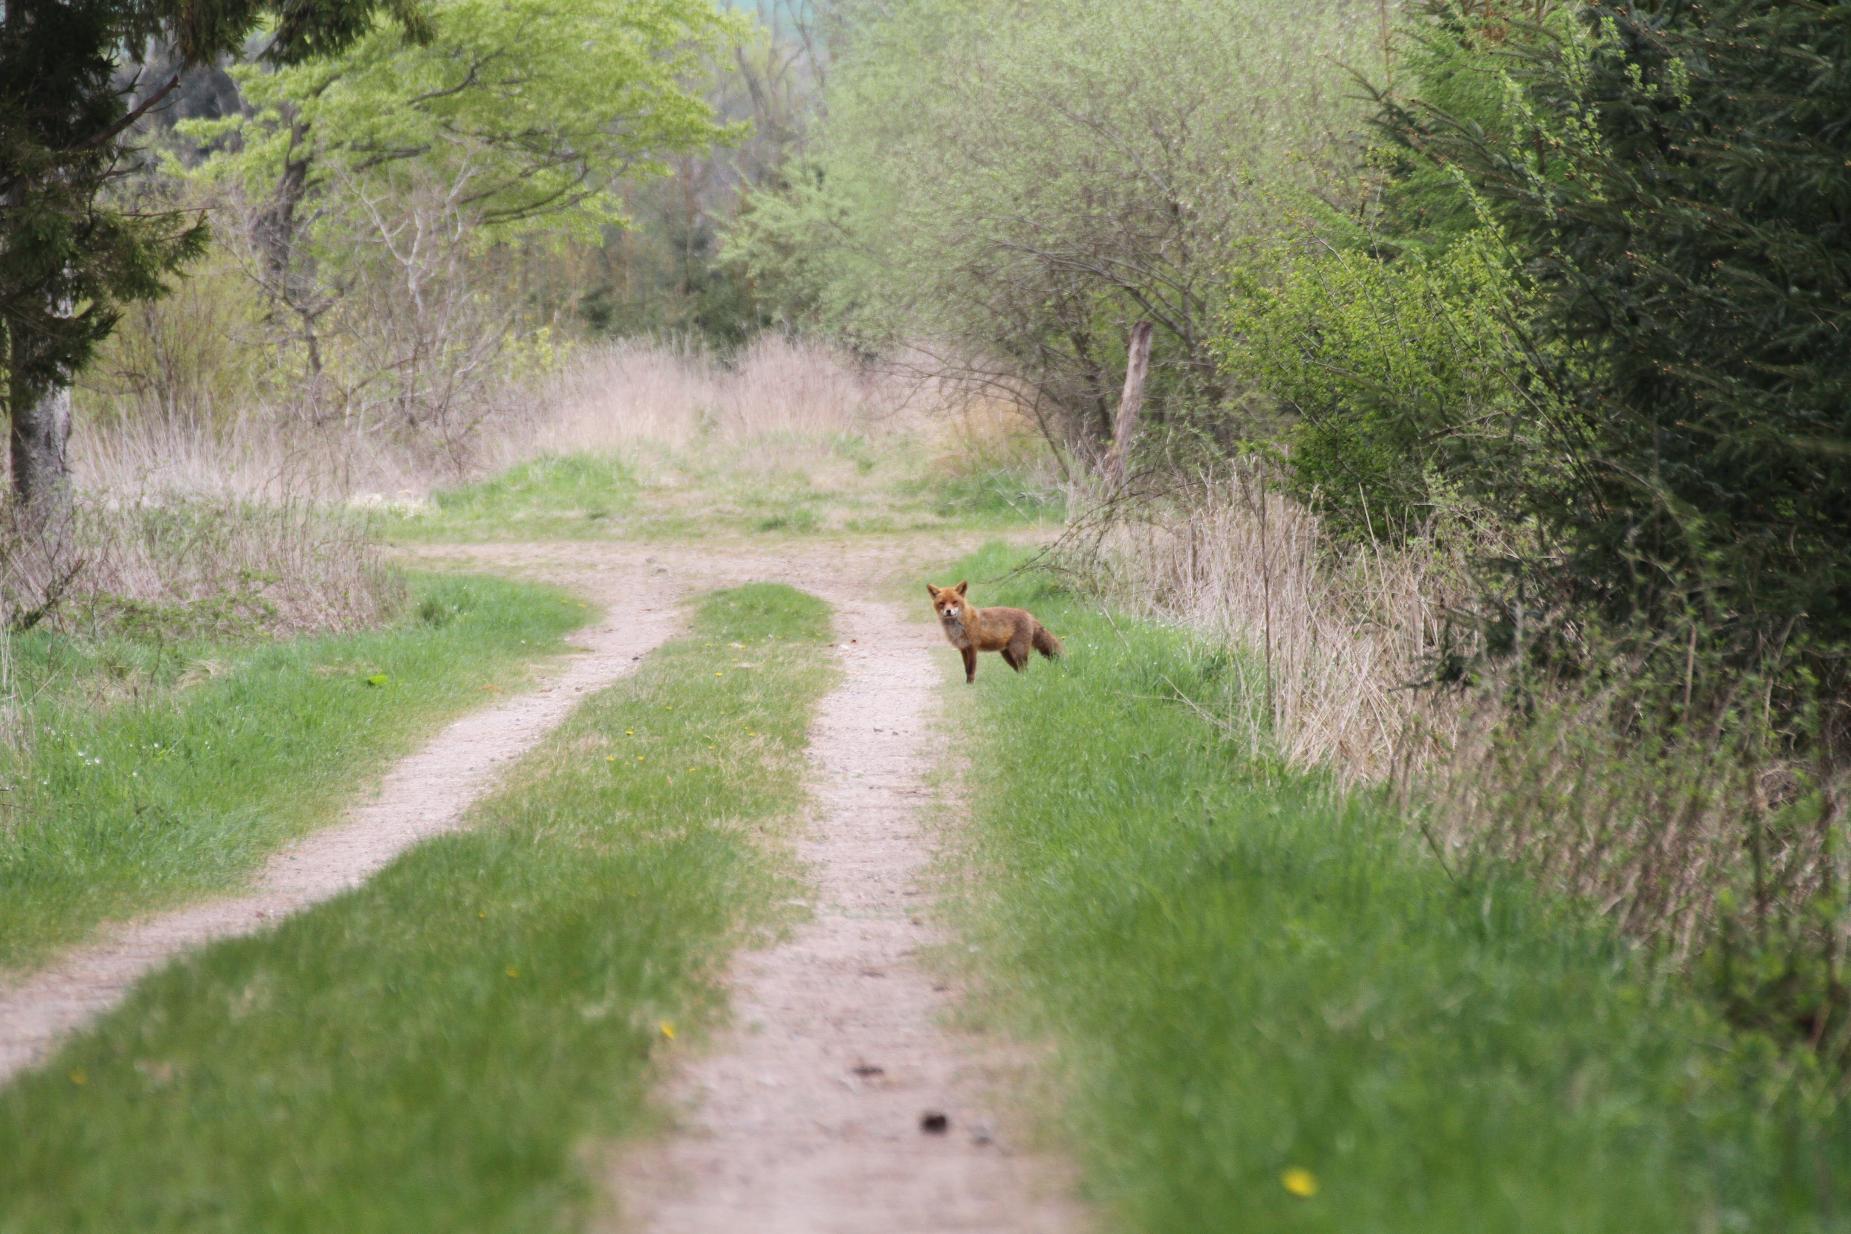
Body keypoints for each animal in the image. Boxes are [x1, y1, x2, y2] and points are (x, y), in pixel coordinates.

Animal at [925, 580, 1063, 684]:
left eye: (955, 602)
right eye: (942, 603)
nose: (948, 611)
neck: (959, 625)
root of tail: (1029, 614)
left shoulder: (972, 647)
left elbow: (971, 669)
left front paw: (970, 685)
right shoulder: (963, 649)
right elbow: (966, 669)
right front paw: (967, 684)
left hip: (1018, 652)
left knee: (1025, 669)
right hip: (1007, 655)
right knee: (1021, 671)